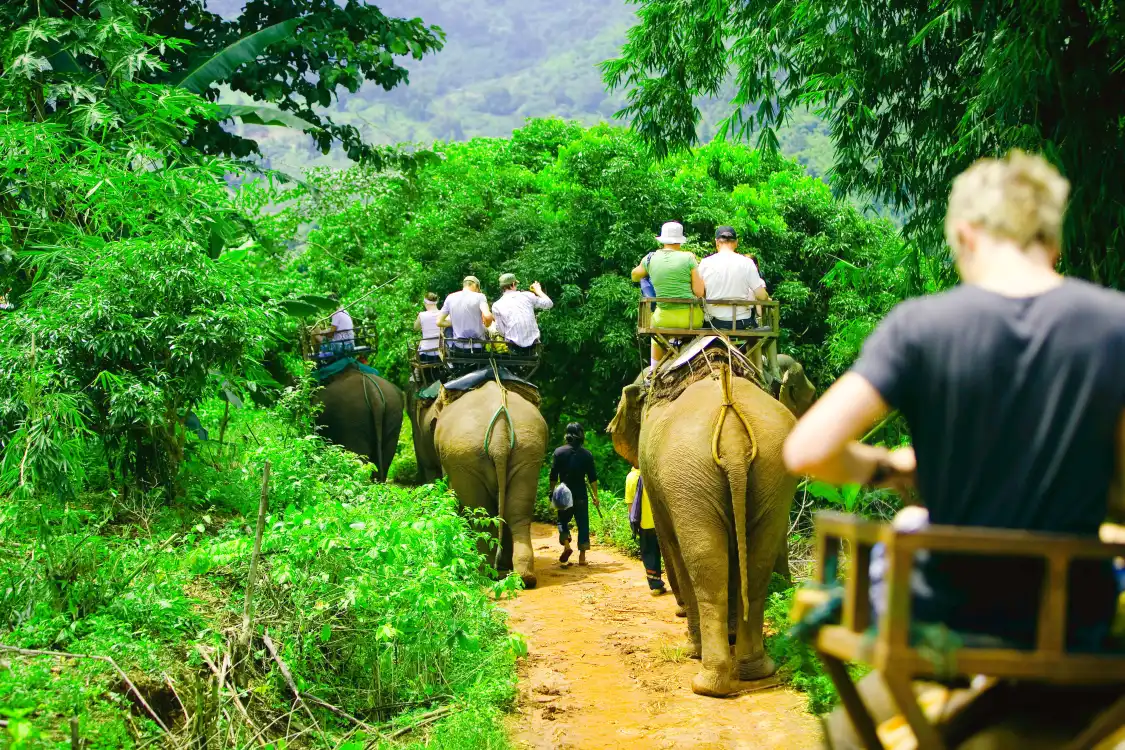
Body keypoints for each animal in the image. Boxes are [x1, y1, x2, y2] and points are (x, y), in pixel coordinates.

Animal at [408, 381, 549, 588]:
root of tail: (499, 435)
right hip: (528, 452)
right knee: (517, 513)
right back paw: (523, 577)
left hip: (465, 458)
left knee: (482, 515)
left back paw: (484, 573)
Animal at [608, 353, 816, 697]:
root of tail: (731, 431)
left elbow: (671, 545)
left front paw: (694, 644)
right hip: (773, 471)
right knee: (755, 565)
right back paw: (755, 669)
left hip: (686, 477)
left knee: (705, 566)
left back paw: (706, 682)